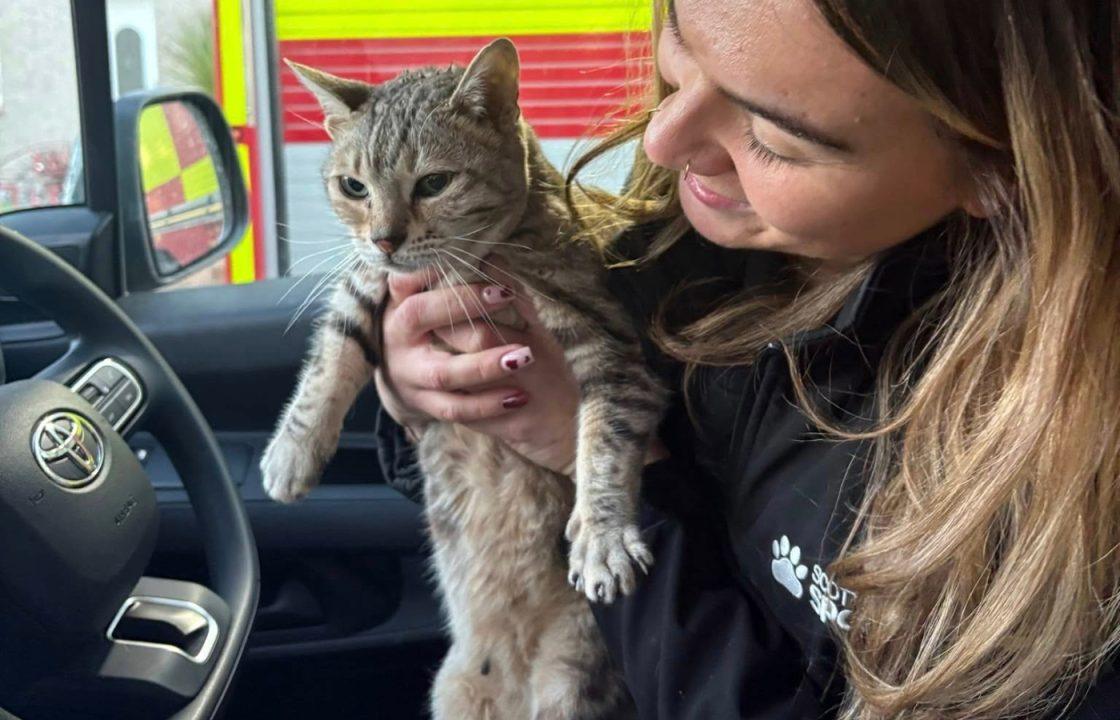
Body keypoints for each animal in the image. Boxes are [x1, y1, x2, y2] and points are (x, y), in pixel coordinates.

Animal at [262, 40, 663, 720]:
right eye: (353, 187)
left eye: (434, 183)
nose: (385, 238)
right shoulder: (365, 281)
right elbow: (331, 356)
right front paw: (293, 450)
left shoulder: (610, 345)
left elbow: (605, 442)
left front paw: (602, 532)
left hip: (571, 682)